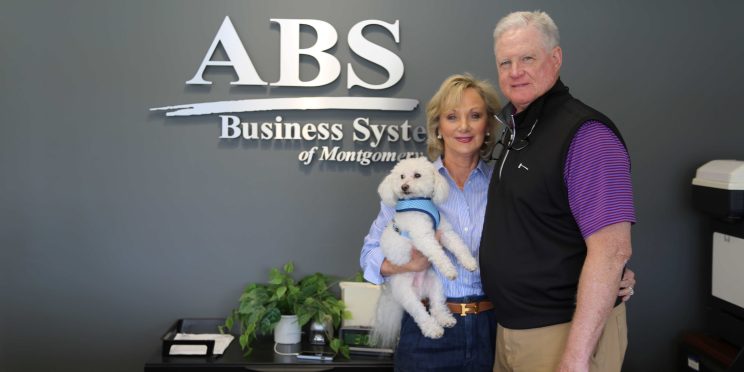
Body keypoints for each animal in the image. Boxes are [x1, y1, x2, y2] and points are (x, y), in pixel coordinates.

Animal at [370, 157, 476, 348]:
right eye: (401, 176)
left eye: (417, 175)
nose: (404, 186)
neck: (418, 201)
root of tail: (420, 292)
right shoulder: (423, 236)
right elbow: (438, 253)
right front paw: (450, 270)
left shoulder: (444, 230)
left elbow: (458, 245)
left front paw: (469, 262)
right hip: (407, 296)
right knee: (421, 314)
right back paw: (433, 329)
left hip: (436, 285)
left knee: (437, 305)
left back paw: (444, 319)